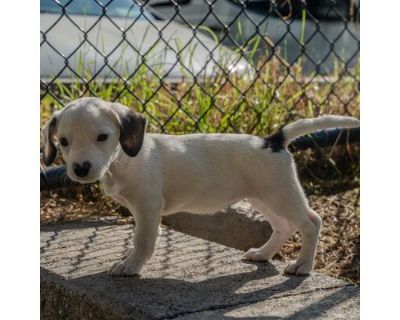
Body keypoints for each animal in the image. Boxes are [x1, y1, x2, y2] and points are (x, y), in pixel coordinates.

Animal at [41, 96, 360, 276]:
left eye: (102, 137)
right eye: (63, 142)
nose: (81, 169)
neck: (123, 161)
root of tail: (273, 140)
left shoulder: (147, 207)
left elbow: (142, 241)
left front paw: (130, 267)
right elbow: (142, 239)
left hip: (281, 195)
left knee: (311, 222)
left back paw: (303, 266)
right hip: (263, 197)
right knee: (283, 227)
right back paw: (263, 254)